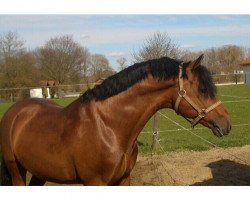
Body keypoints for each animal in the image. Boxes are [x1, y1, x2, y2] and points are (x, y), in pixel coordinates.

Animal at [0, 55, 230, 186]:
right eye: (202, 89)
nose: (226, 124)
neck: (109, 126)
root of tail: (14, 111)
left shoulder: (124, 179)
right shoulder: (95, 182)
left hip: (40, 171)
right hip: (16, 170)